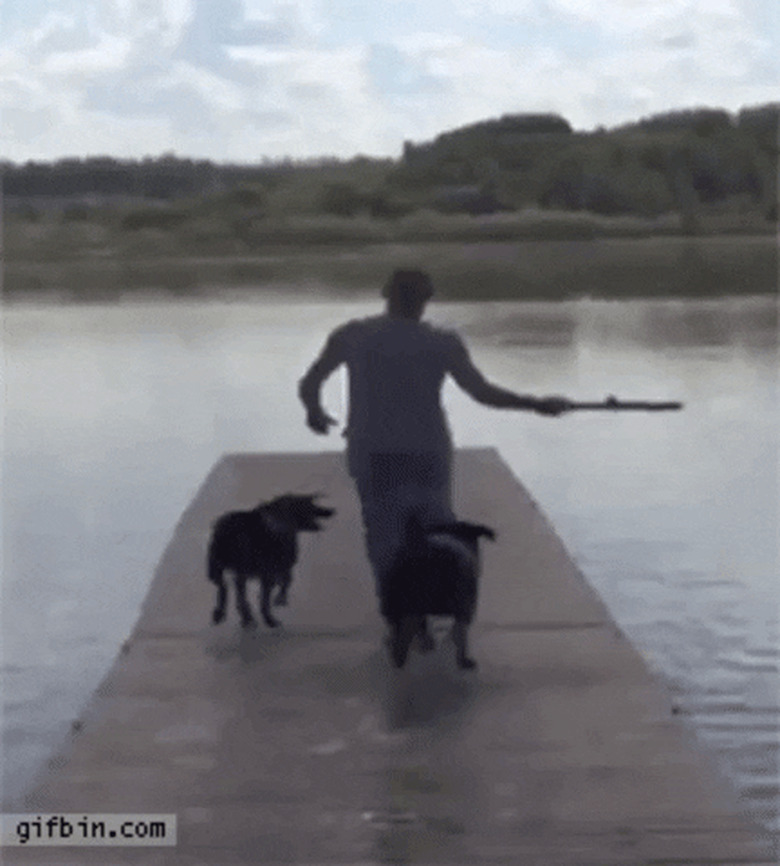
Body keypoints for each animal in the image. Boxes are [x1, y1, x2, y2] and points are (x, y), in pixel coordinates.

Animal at [207, 492, 332, 628]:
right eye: (311, 504)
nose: (332, 511)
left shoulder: (274, 572)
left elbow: (282, 584)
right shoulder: (274, 573)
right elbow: (274, 592)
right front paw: (273, 611)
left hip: (217, 570)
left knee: (225, 589)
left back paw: (225, 614)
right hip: (227, 571)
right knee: (234, 592)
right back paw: (254, 618)